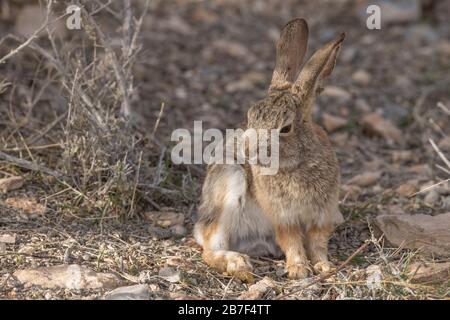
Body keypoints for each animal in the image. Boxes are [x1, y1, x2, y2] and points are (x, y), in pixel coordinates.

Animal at [193, 18, 344, 282]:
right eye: (250, 117)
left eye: (285, 128)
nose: (247, 150)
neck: (297, 164)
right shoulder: (283, 216)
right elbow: (292, 241)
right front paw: (298, 269)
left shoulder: (322, 215)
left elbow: (318, 244)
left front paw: (324, 267)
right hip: (229, 183)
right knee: (210, 247)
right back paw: (237, 265)